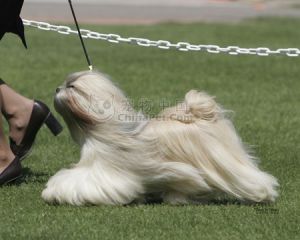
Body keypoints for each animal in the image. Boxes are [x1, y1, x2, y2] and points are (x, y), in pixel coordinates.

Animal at [41, 70, 278, 205]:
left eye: (71, 86)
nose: (57, 88)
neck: (108, 128)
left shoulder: (106, 170)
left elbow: (79, 182)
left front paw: (54, 192)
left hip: (224, 161)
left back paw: (262, 193)